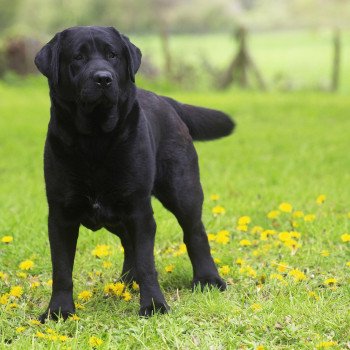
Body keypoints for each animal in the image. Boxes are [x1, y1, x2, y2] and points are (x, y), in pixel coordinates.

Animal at [34, 25, 234, 320]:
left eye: (113, 55)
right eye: (78, 57)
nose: (103, 79)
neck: (94, 142)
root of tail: (166, 100)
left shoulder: (139, 210)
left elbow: (147, 262)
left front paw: (153, 305)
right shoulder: (61, 215)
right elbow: (61, 269)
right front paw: (58, 311)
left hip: (182, 191)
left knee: (195, 233)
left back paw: (207, 279)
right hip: (116, 216)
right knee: (128, 244)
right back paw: (126, 282)